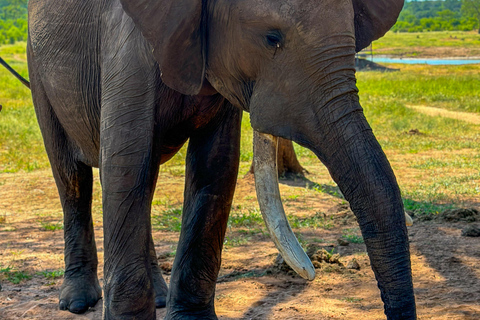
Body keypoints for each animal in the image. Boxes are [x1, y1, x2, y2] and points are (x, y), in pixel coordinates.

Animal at [27, 0, 416, 318]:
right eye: (271, 38)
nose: (313, 271)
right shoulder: (125, 47)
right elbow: (126, 164)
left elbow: (215, 165)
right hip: (37, 66)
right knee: (72, 176)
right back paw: (78, 302)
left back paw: (159, 297)